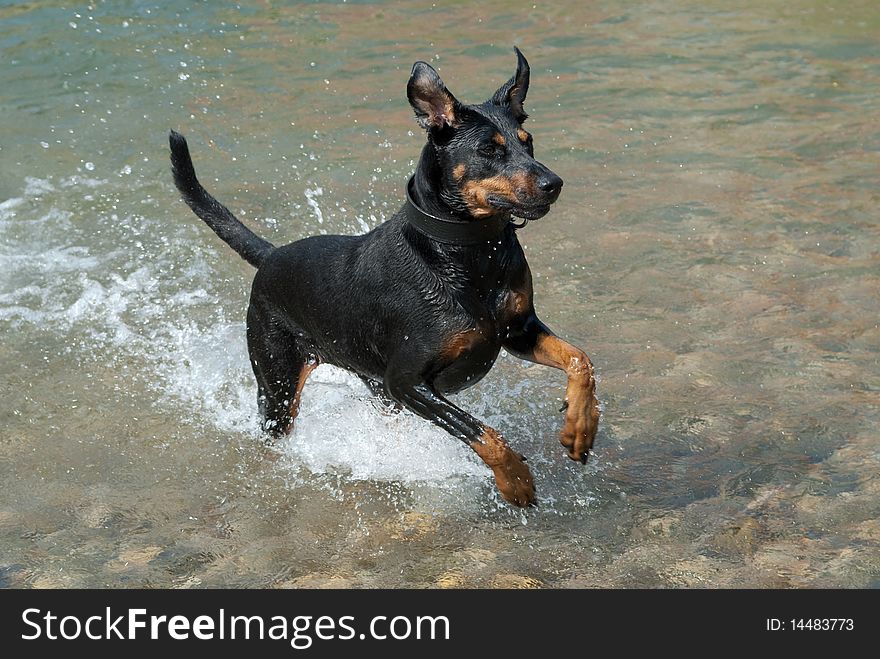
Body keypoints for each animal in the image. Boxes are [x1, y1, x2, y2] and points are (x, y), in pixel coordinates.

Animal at [172, 50, 600, 506]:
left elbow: (580, 360)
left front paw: (579, 429)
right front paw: (517, 481)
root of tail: (272, 256)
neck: (467, 252)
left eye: (527, 140)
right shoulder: (406, 381)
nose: (554, 183)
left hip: (373, 386)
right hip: (279, 384)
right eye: (489, 149)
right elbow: (481, 432)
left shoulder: (516, 331)